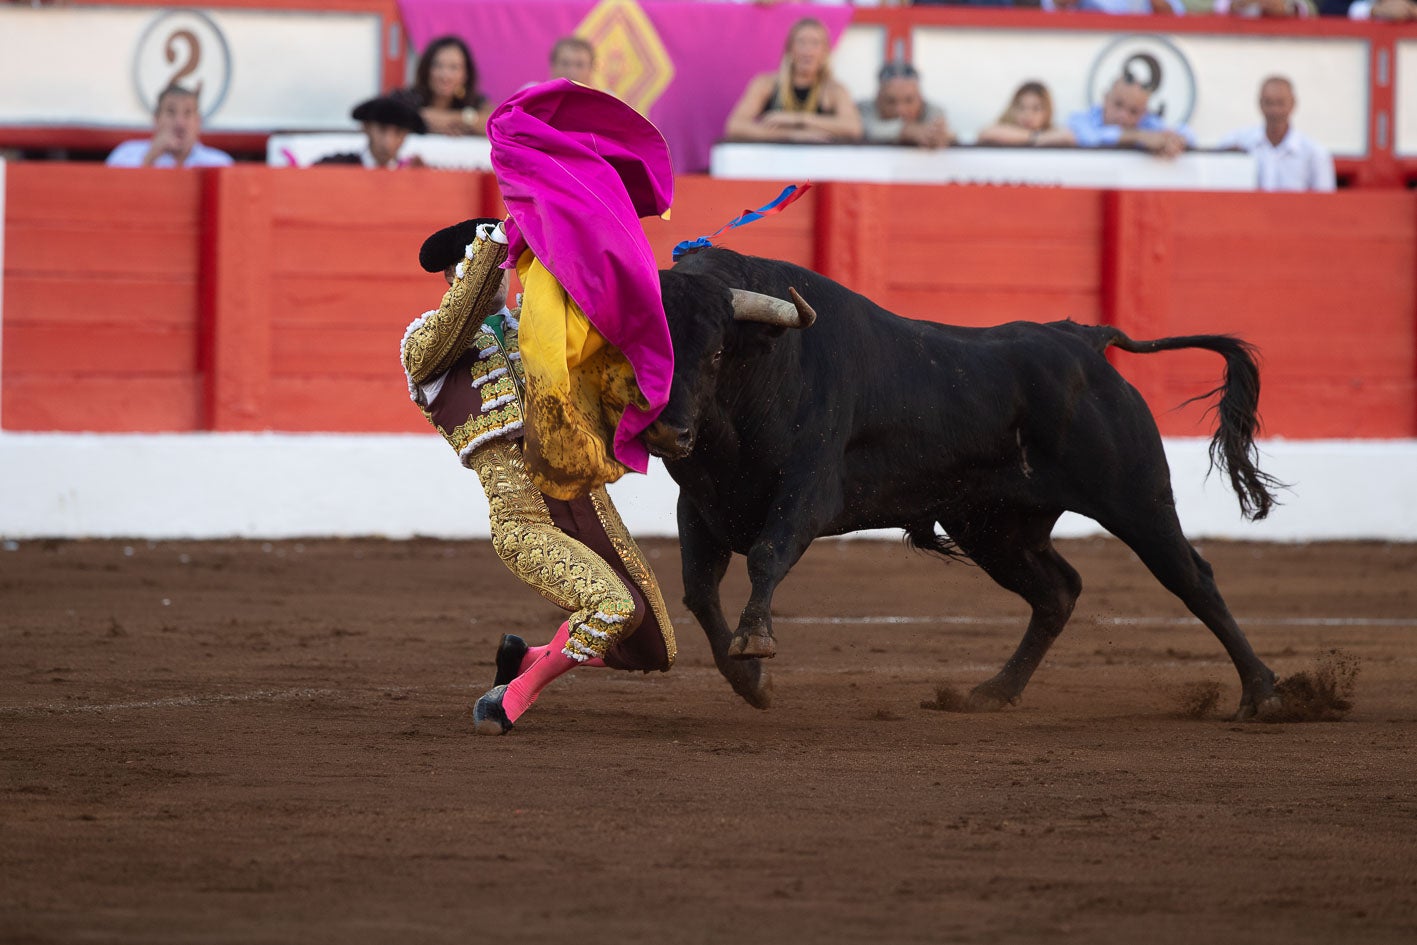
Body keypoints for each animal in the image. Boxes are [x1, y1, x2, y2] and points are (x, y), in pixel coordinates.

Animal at [643, 247, 1286, 719]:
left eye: (716, 352)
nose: (667, 432)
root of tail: (1080, 340)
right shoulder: (699, 505)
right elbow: (699, 591)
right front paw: (750, 680)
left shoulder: (807, 489)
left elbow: (767, 554)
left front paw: (755, 641)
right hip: (993, 528)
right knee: (1058, 591)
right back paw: (995, 691)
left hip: (1136, 498)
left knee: (1192, 579)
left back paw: (1263, 693)